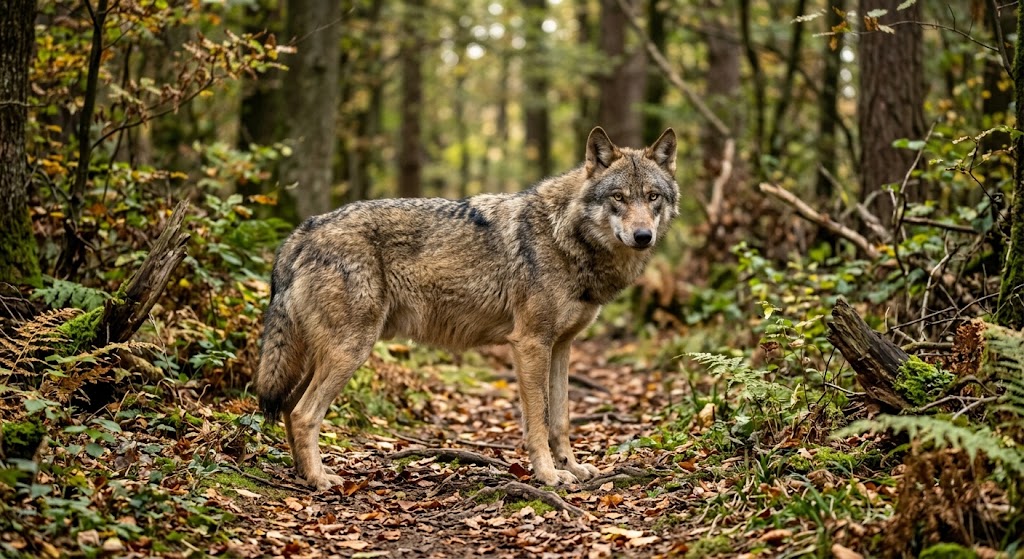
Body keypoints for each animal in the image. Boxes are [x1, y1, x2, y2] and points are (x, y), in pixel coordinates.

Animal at [254, 127, 679, 490]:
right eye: (618, 197)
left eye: (652, 197)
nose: (643, 236)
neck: (566, 237)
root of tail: (303, 229)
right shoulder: (530, 344)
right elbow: (538, 421)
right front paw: (547, 475)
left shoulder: (561, 346)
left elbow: (560, 418)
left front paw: (572, 468)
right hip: (351, 351)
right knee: (304, 413)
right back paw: (319, 480)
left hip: (327, 354)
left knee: (289, 407)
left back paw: (303, 475)